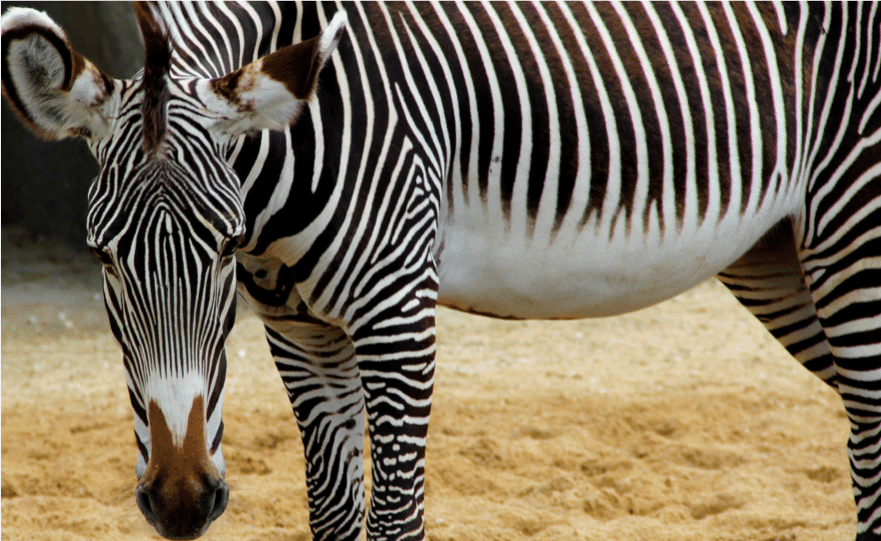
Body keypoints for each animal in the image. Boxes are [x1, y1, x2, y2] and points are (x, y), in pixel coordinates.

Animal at [0, 0, 876, 536]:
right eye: (102, 254)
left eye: (222, 243)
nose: (182, 501)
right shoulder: (299, 332)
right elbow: (332, 513)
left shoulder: (396, 316)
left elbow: (394, 518)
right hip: (775, 256)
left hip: (852, 226)